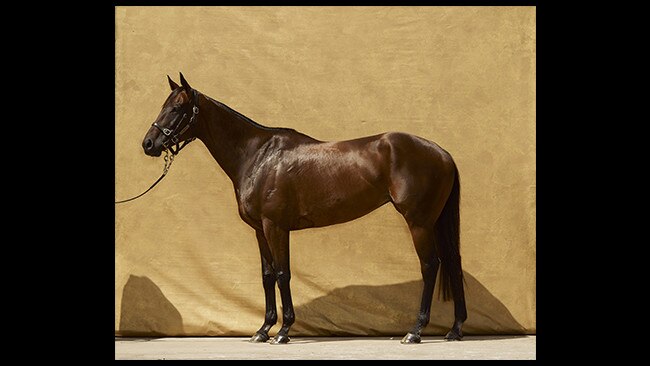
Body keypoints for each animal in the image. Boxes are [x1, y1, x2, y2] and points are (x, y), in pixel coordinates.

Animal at [139, 73, 464, 344]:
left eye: (178, 108)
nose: (149, 143)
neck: (258, 156)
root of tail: (443, 153)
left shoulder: (275, 226)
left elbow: (283, 273)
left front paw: (283, 332)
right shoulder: (259, 230)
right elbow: (267, 275)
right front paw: (262, 330)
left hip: (418, 222)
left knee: (430, 265)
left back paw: (415, 331)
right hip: (434, 221)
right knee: (452, 261)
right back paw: (455, 329)